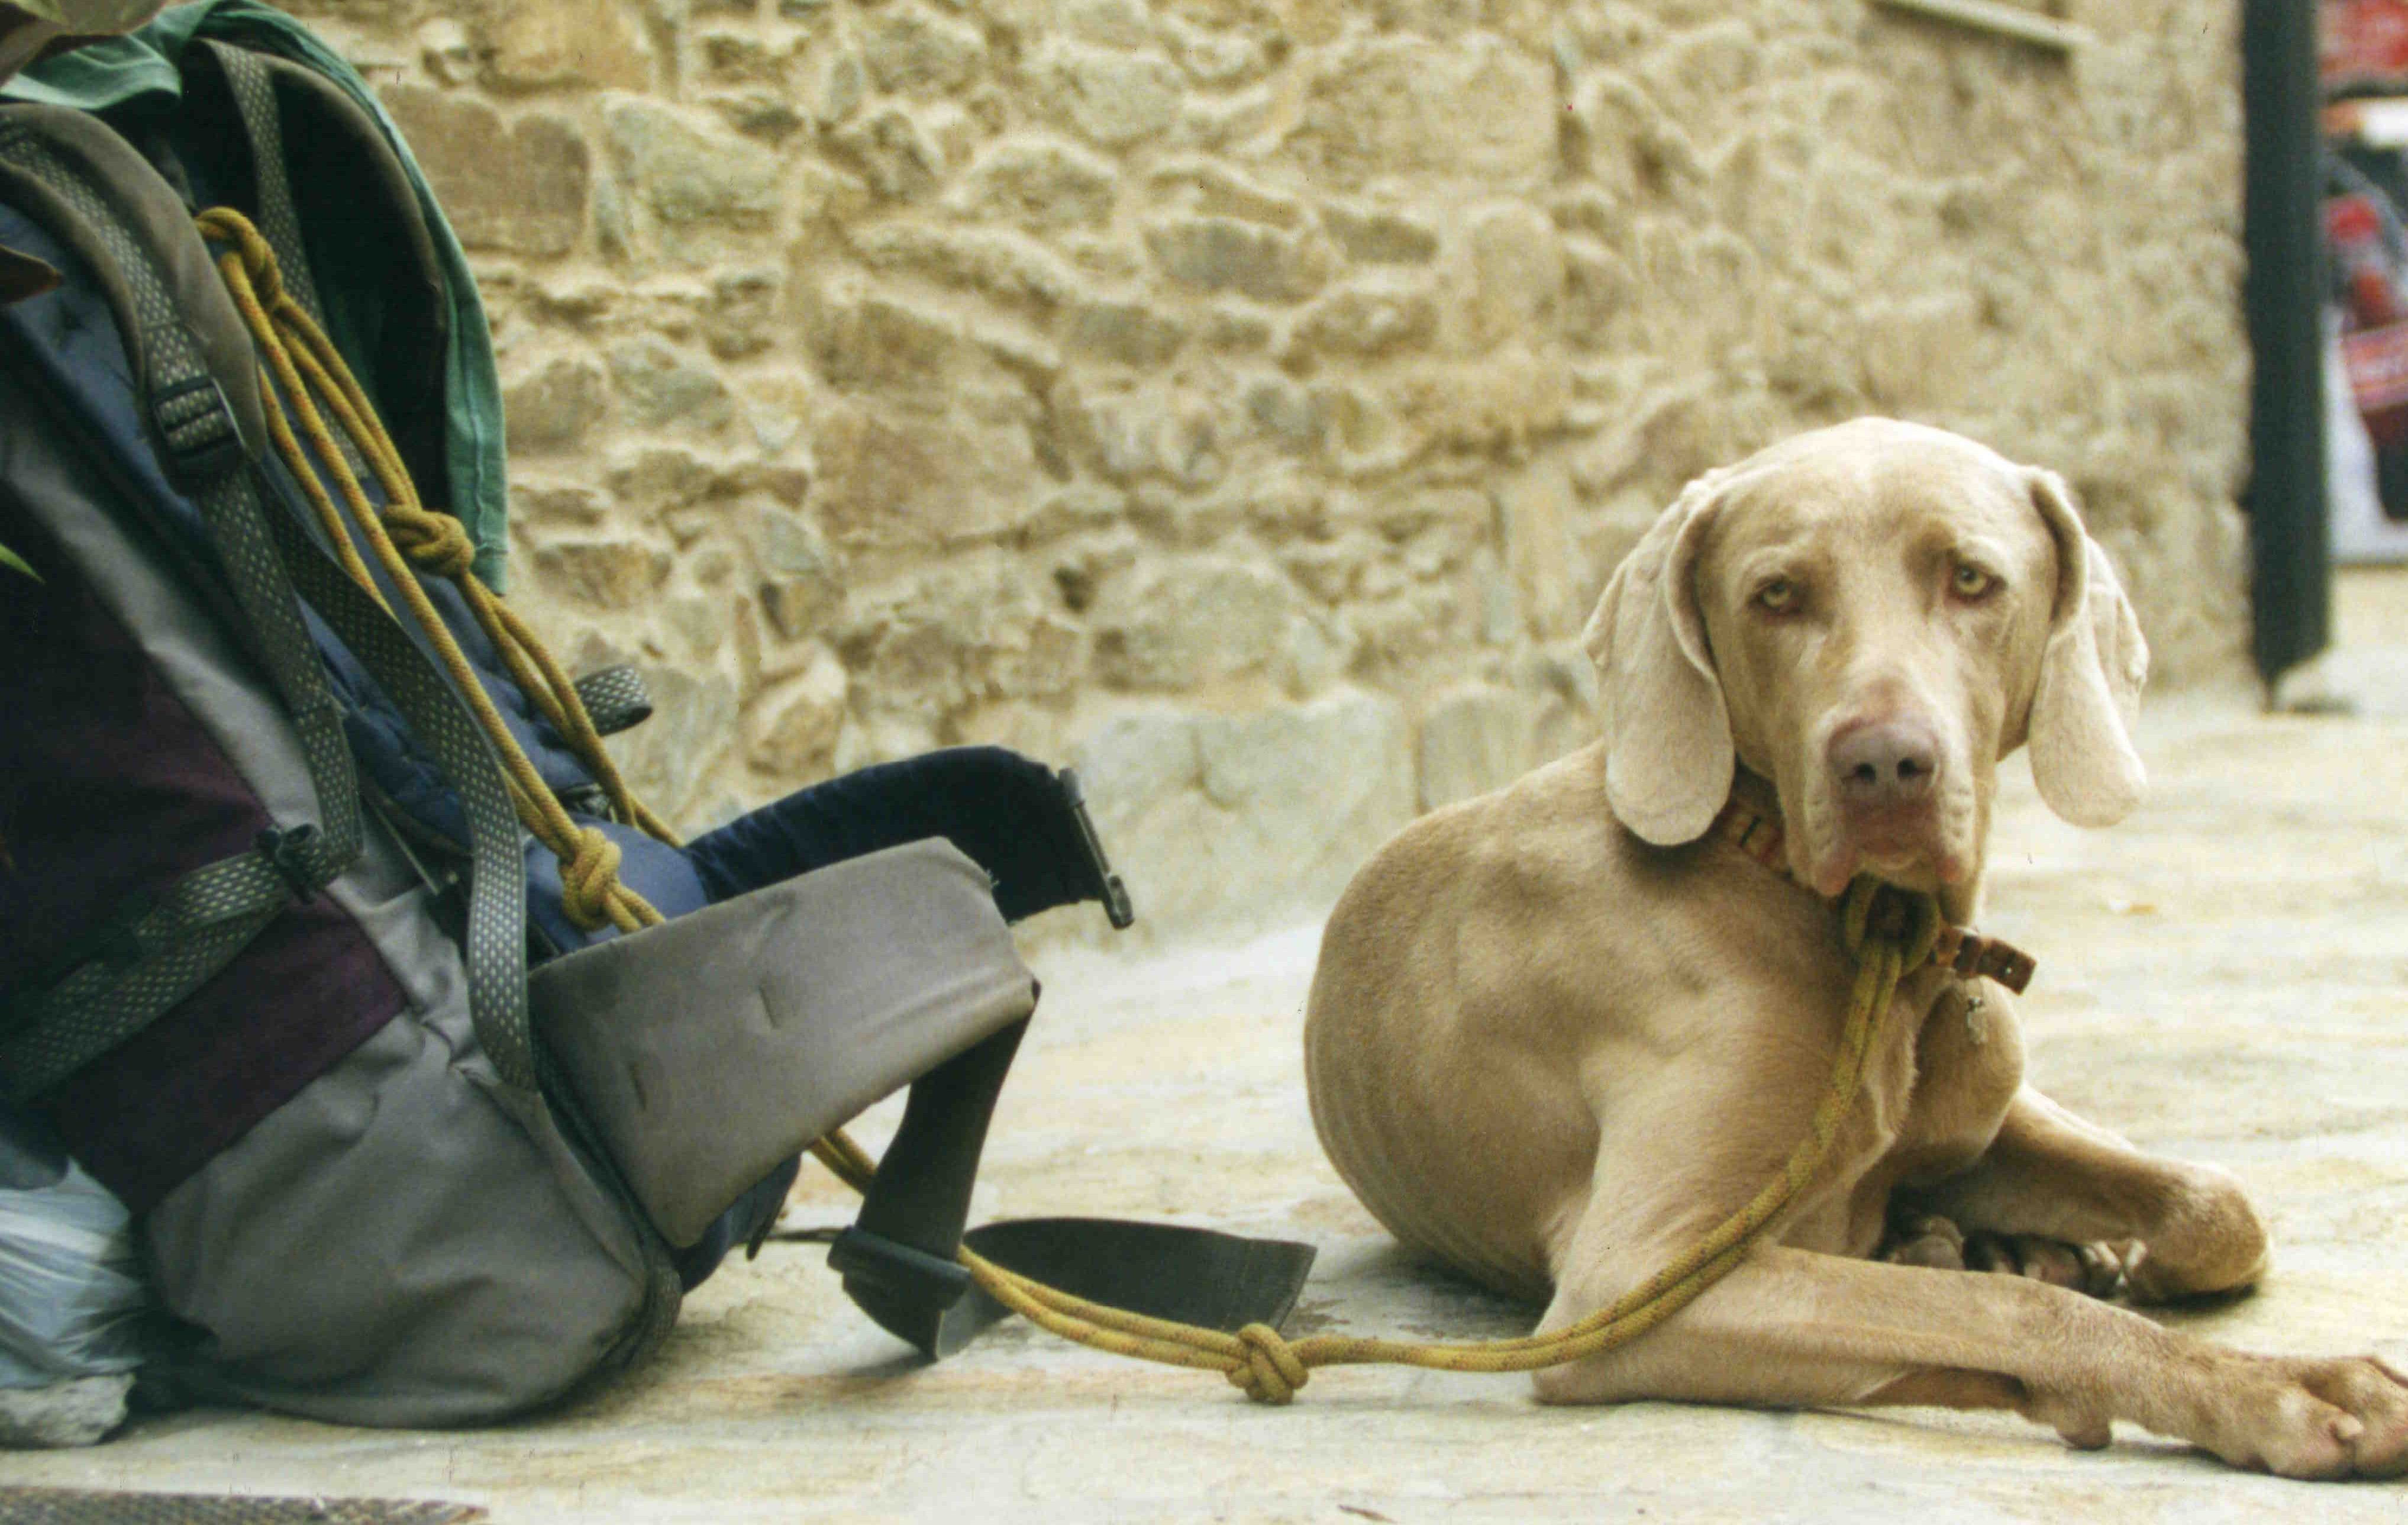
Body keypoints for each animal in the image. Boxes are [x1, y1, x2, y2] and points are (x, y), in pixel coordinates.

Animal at [1310, 417, 2408, 1474]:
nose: (1884, 764)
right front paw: (2282, 1387)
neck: (1868, 937)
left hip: (2003, 1079)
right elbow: (2003, 1313)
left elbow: (2221, 1203)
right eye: (1776, 595)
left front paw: (2114, 1263)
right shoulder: (1629, 1280)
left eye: (1971, 578)